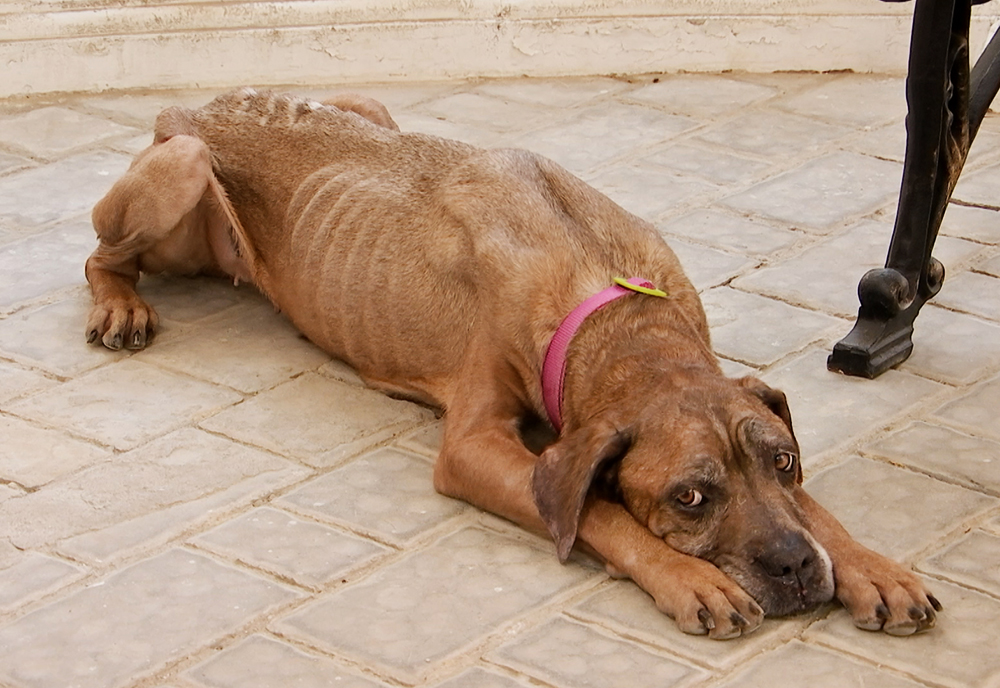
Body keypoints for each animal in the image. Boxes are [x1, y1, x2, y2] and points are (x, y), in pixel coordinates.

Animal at [84, 86, 936, 640]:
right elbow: (594, 511)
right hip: (181, 169)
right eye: (690, 498)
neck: (616, 310)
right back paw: (119, 307)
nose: (794, 568)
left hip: (368, 109)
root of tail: (193, 107)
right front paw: (689, 576)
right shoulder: (475, 448)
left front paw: (866, 563)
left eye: (784, 460)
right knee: (101, 256)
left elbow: (813, 510)